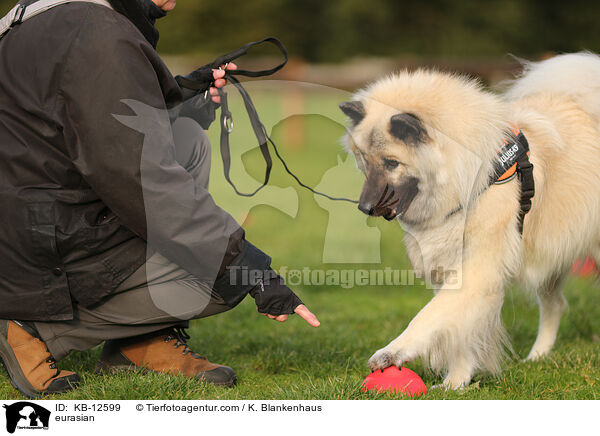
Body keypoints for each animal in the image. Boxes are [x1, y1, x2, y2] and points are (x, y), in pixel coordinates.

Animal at [340, 52, 600, 390]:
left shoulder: (478, 271)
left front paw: (392, 352)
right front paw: (455, 383)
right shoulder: (454, 271)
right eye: (364, 160)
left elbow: (429, 317)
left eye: (392, 163)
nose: (365, 207)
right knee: (554, 306)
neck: (470, 177)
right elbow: (456, 333)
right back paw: (537, 357)